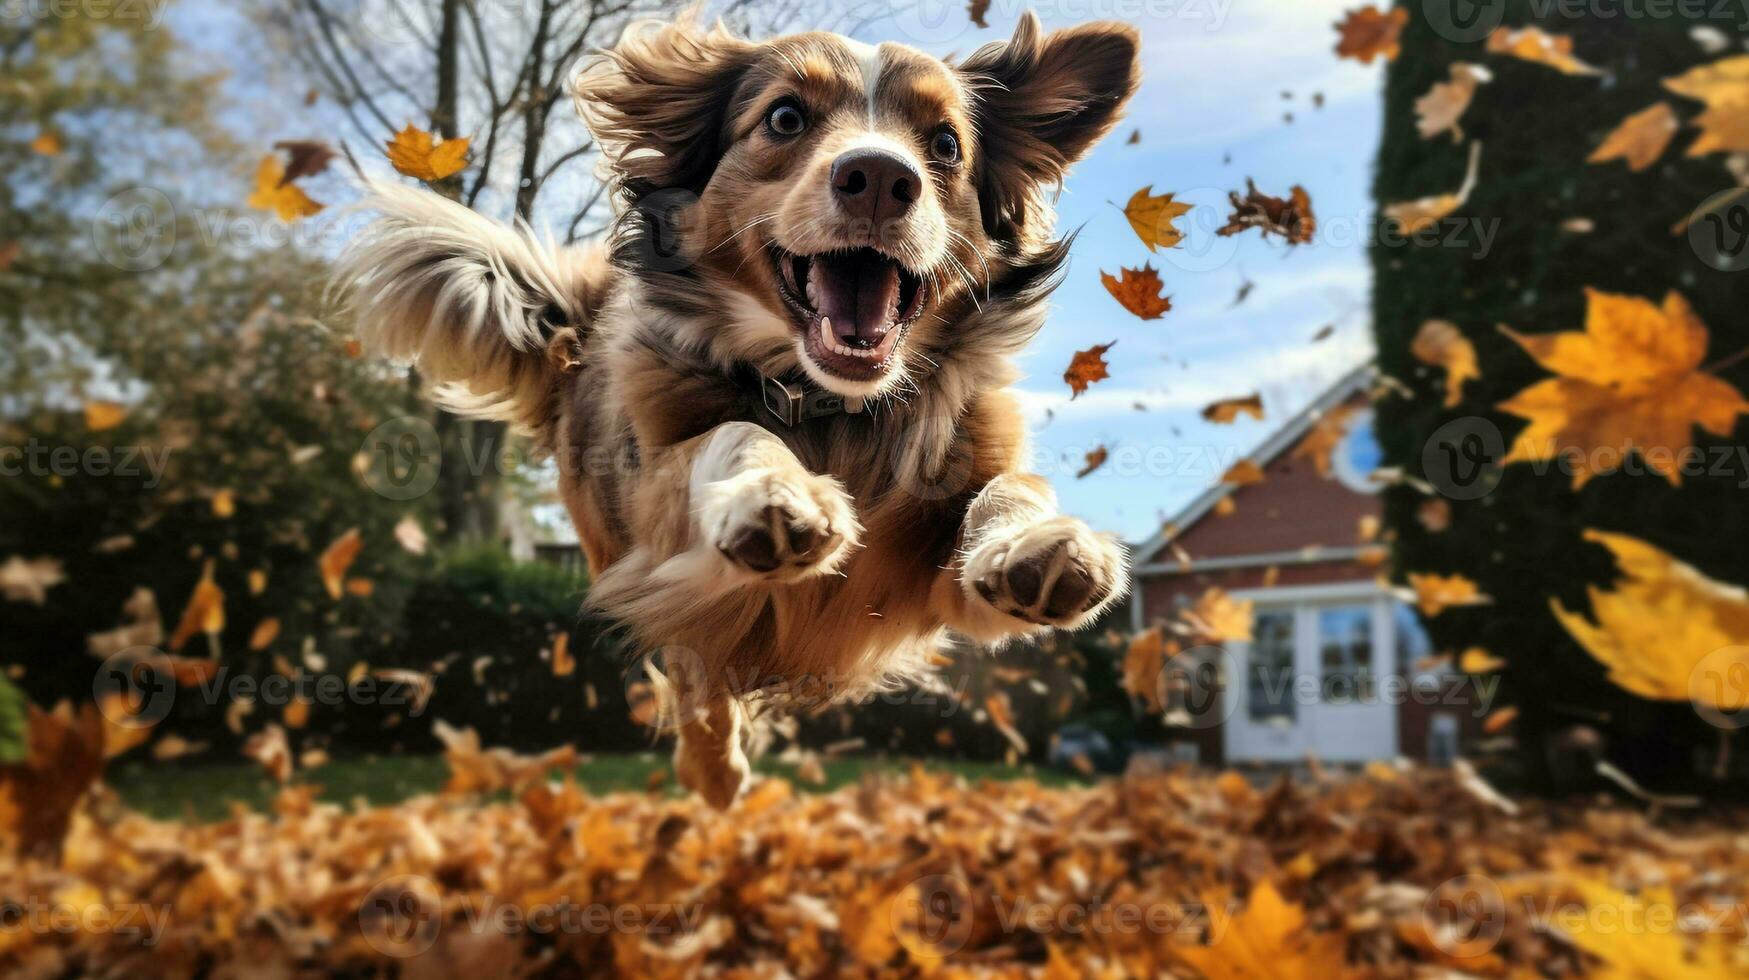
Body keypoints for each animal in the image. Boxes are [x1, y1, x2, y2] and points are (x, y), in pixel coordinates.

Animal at [334, 11, 1140, 805]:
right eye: (784, 117)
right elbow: (734, 431)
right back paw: (714, 771)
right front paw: (772, 494)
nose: (881, 178)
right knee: (697, 671)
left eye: (945, 143)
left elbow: (1011, 486)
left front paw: (1037, 544)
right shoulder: (661, 520)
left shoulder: (928, 584)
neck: (835, 408)